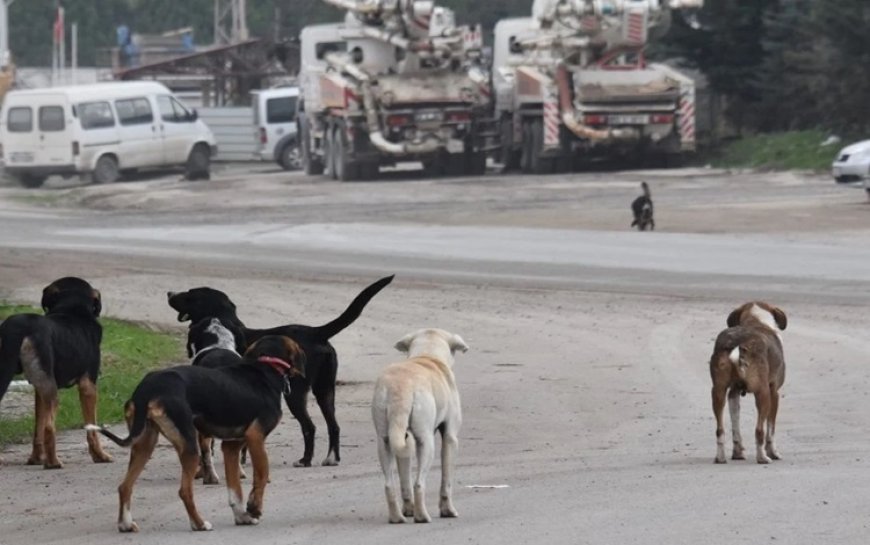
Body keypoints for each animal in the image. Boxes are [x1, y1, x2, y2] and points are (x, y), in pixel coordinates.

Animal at [0, 276, 113, 468]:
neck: (72, 308)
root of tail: (19, 327)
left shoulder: (39, 390)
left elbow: (37, 428)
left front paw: (36, 459)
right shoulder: (88, 385)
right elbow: (92, 429)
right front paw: (100, 455)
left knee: (44, 426)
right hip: (49, 390)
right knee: (49, 427)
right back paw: (53, 462)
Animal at [89, 334, 306, 532]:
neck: (266, 367)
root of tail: (147, 388)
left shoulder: (231, 446)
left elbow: (234, 490)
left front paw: (242, 516)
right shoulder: (256, 438)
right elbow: (261, 475)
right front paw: (254, 508)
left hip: (144, 444)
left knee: (125, 486)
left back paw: (125, 524)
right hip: (189, 446)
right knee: (184, 491)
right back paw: (199, 524)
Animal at [166, 274, 396, 466]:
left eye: (190, 294)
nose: (169, 293)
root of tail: (317, 333)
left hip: (295, 393)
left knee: (309, 426)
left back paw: (305, 460)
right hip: (325, 390)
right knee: (334, 425)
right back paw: (332, 458)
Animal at [372, 328, 474, 524]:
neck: (427, 355)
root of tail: (401, 386)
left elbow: (404, 480)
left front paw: (408, 510)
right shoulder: (450, 438)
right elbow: (446, 481)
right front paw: (448, 510)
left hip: (385, 441)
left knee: (390, 484)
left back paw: (397, 517)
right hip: (426, 442)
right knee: (419, 483)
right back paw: (422, 516)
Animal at [708, 302, 792, 464]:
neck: (756, 320)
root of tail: (738, 343)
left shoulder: (733, 393)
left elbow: (735, 426)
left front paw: (737, 452)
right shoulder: (774, 393)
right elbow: (771, 430)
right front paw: (773, 452)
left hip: (718, 391)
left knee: (719, 430)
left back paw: (720, 457)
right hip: (763, 393)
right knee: (759, 430)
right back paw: (763, 457)